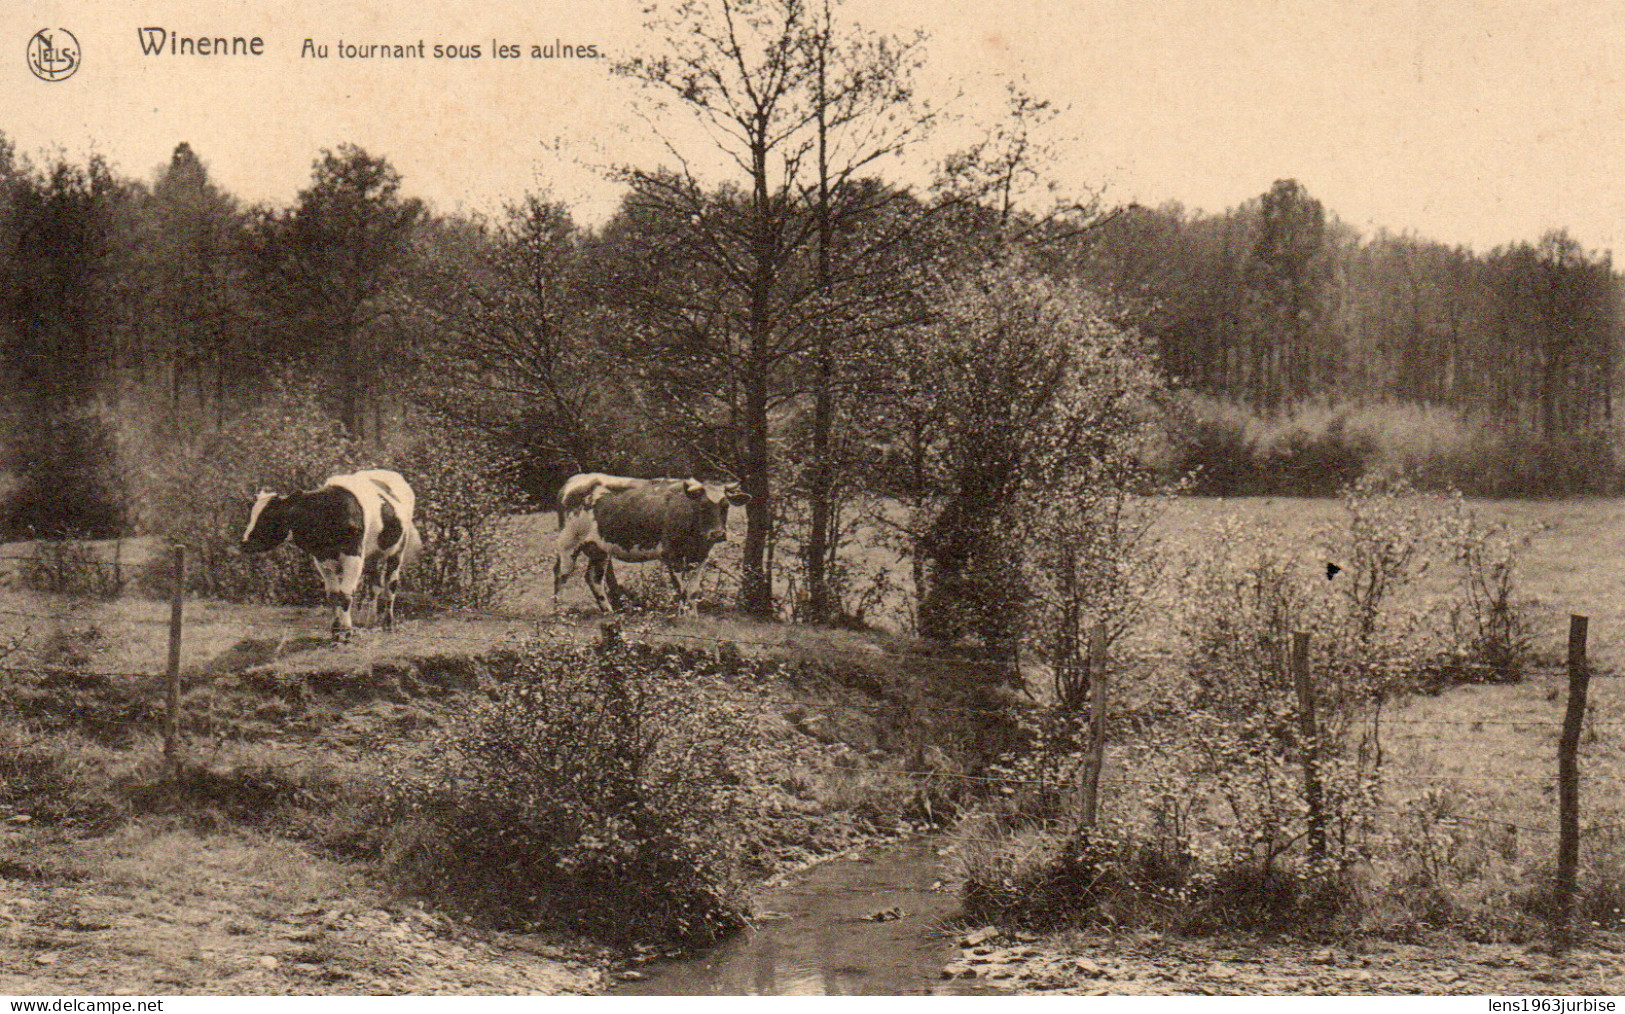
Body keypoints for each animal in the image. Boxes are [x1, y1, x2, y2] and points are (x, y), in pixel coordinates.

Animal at [549, 474, 744, 614]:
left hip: (599, 549)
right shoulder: (672, 554)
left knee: (593, 578)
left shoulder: (700, 556)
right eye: (703, 506)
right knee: (561, 574)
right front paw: (682, 617)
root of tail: (572, 481)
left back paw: (609, 612)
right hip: (569, 543)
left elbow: (694, 590)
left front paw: (693, 617)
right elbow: (682, 589)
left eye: (726, 506)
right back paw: (559, 612)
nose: (718, 534)